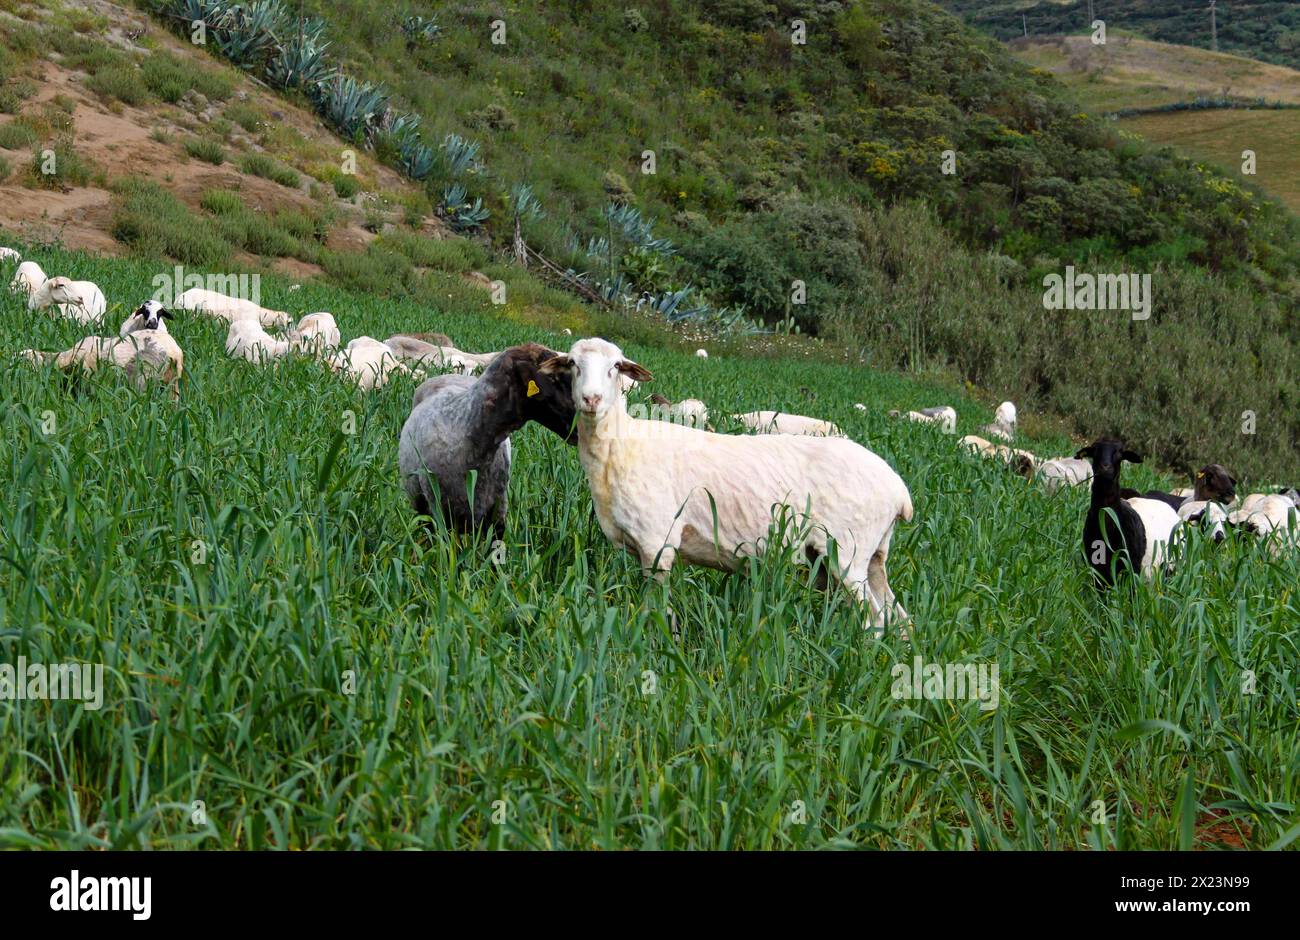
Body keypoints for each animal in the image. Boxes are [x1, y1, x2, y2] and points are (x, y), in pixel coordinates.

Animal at [538, 335, 915, 631]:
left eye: (616, 366)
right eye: (572, 364)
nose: (591, 399)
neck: (620, 444)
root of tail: (899, 491)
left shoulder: (657, 542)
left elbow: (654, 607)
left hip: (847, 552)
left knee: (875, 619)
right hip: (868, 556)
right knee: (899, 619)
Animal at [1071, 436, 1185, 585]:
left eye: (1120, 452)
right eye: (1094, 451)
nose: (1105, 468)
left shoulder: (1132, 569)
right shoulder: (1097, 570)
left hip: (1170, 569)